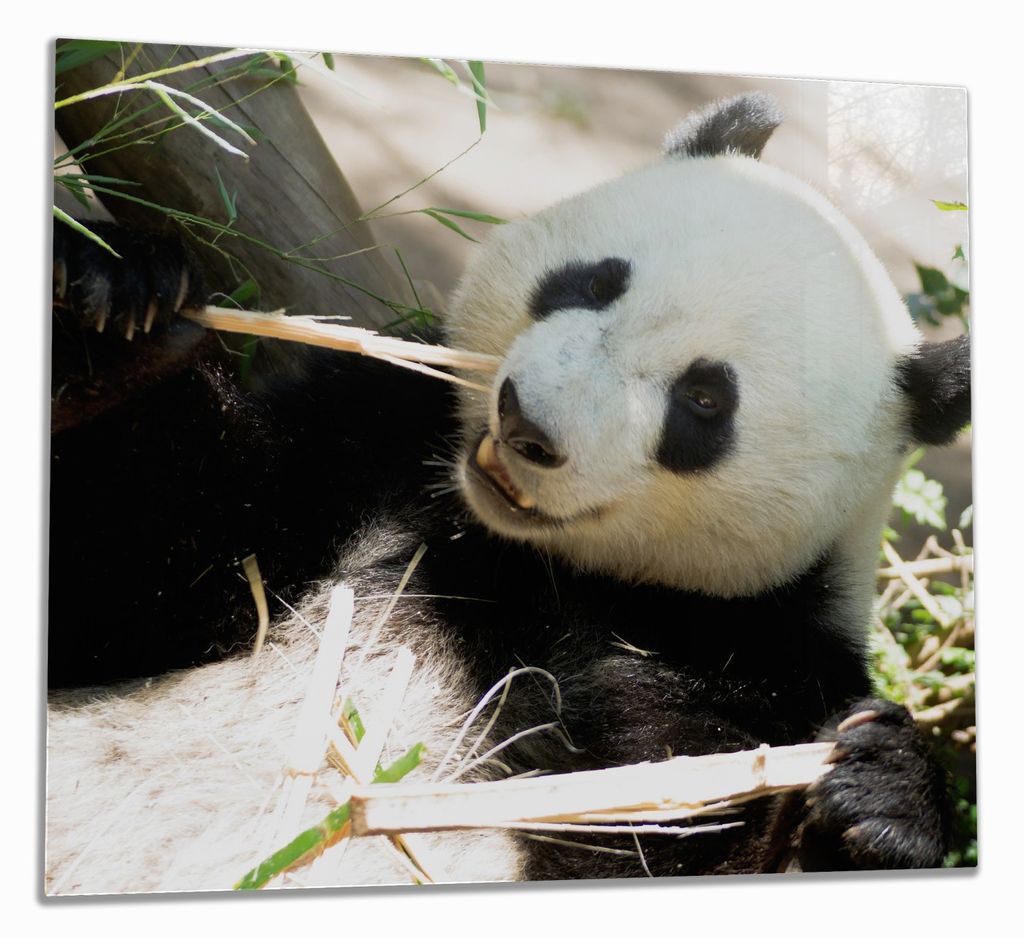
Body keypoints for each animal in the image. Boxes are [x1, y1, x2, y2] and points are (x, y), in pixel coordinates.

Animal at [46, 92, 970, 894]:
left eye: (705, 401)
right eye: (594, 281)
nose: (526, 421)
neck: (529, 560)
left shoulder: (754, 652)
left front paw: (878, 802)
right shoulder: (377, 434)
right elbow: (142, 585)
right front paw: (117, 312)